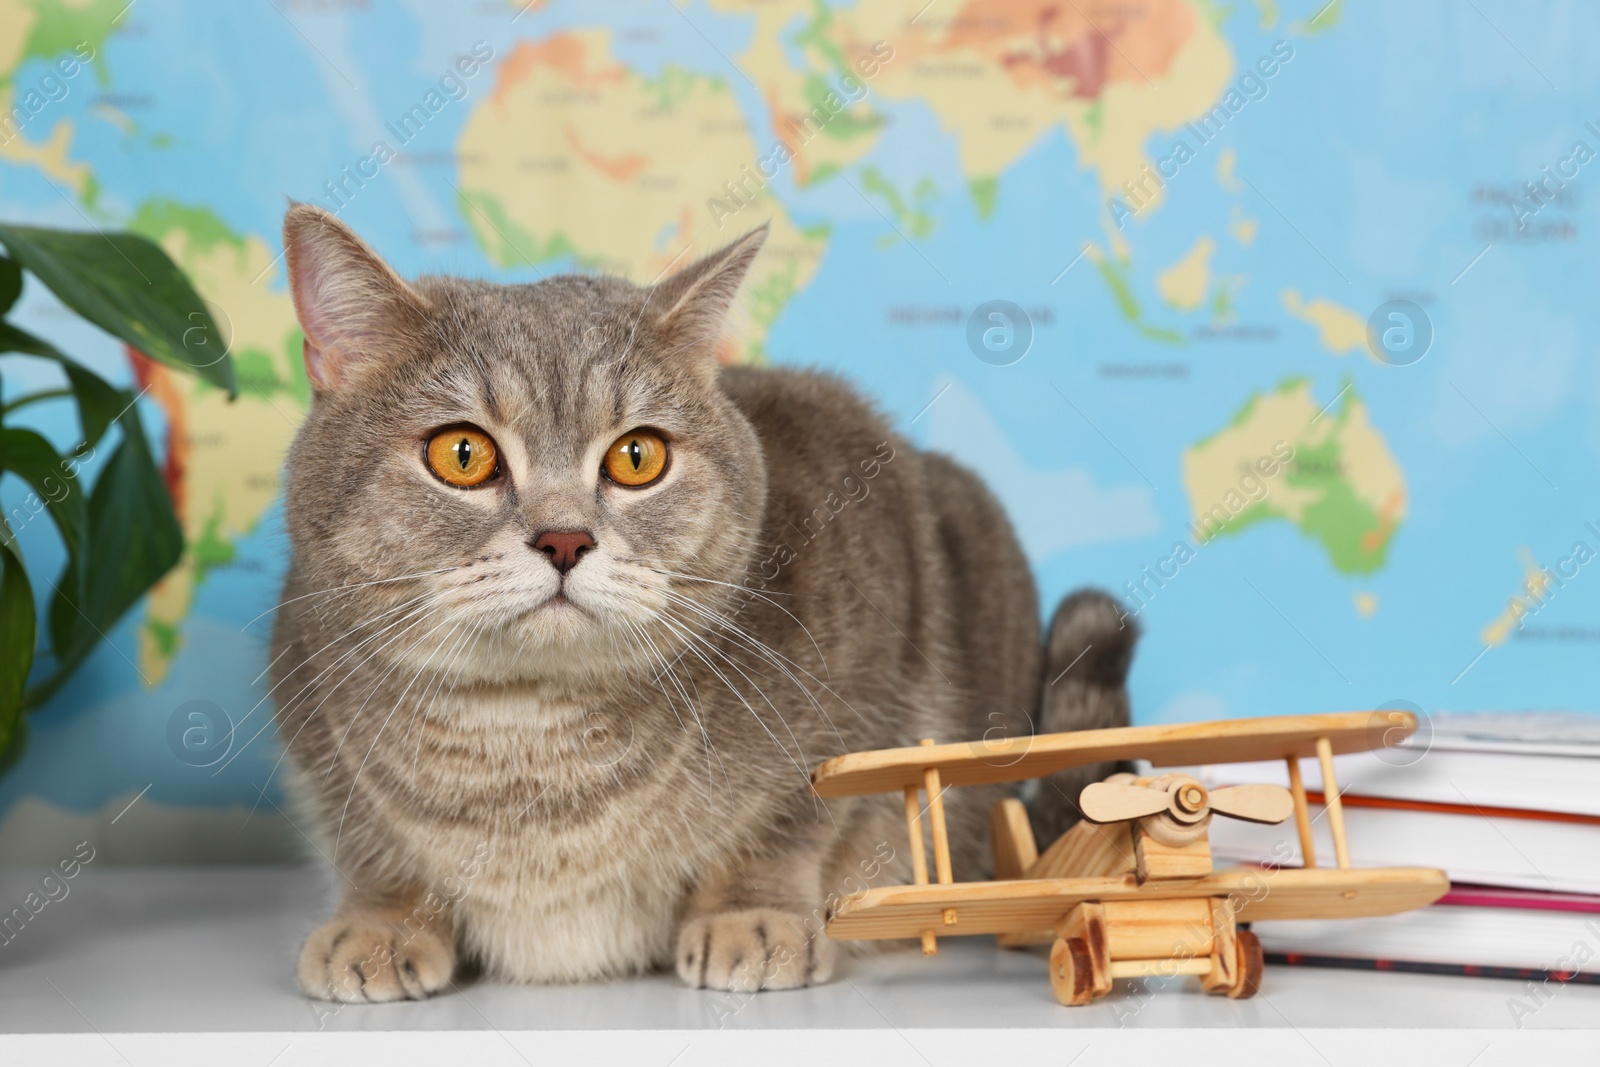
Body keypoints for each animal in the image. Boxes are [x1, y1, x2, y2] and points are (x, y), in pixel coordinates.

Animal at [268, 204, 1132, 1004]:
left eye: (636, 456)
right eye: (462, 453)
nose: (564, 539)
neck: (530, 739)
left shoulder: (867, 646)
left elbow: (796, 812)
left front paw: (752, 910)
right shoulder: (309, 696)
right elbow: (369, 844)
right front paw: (381, 919)